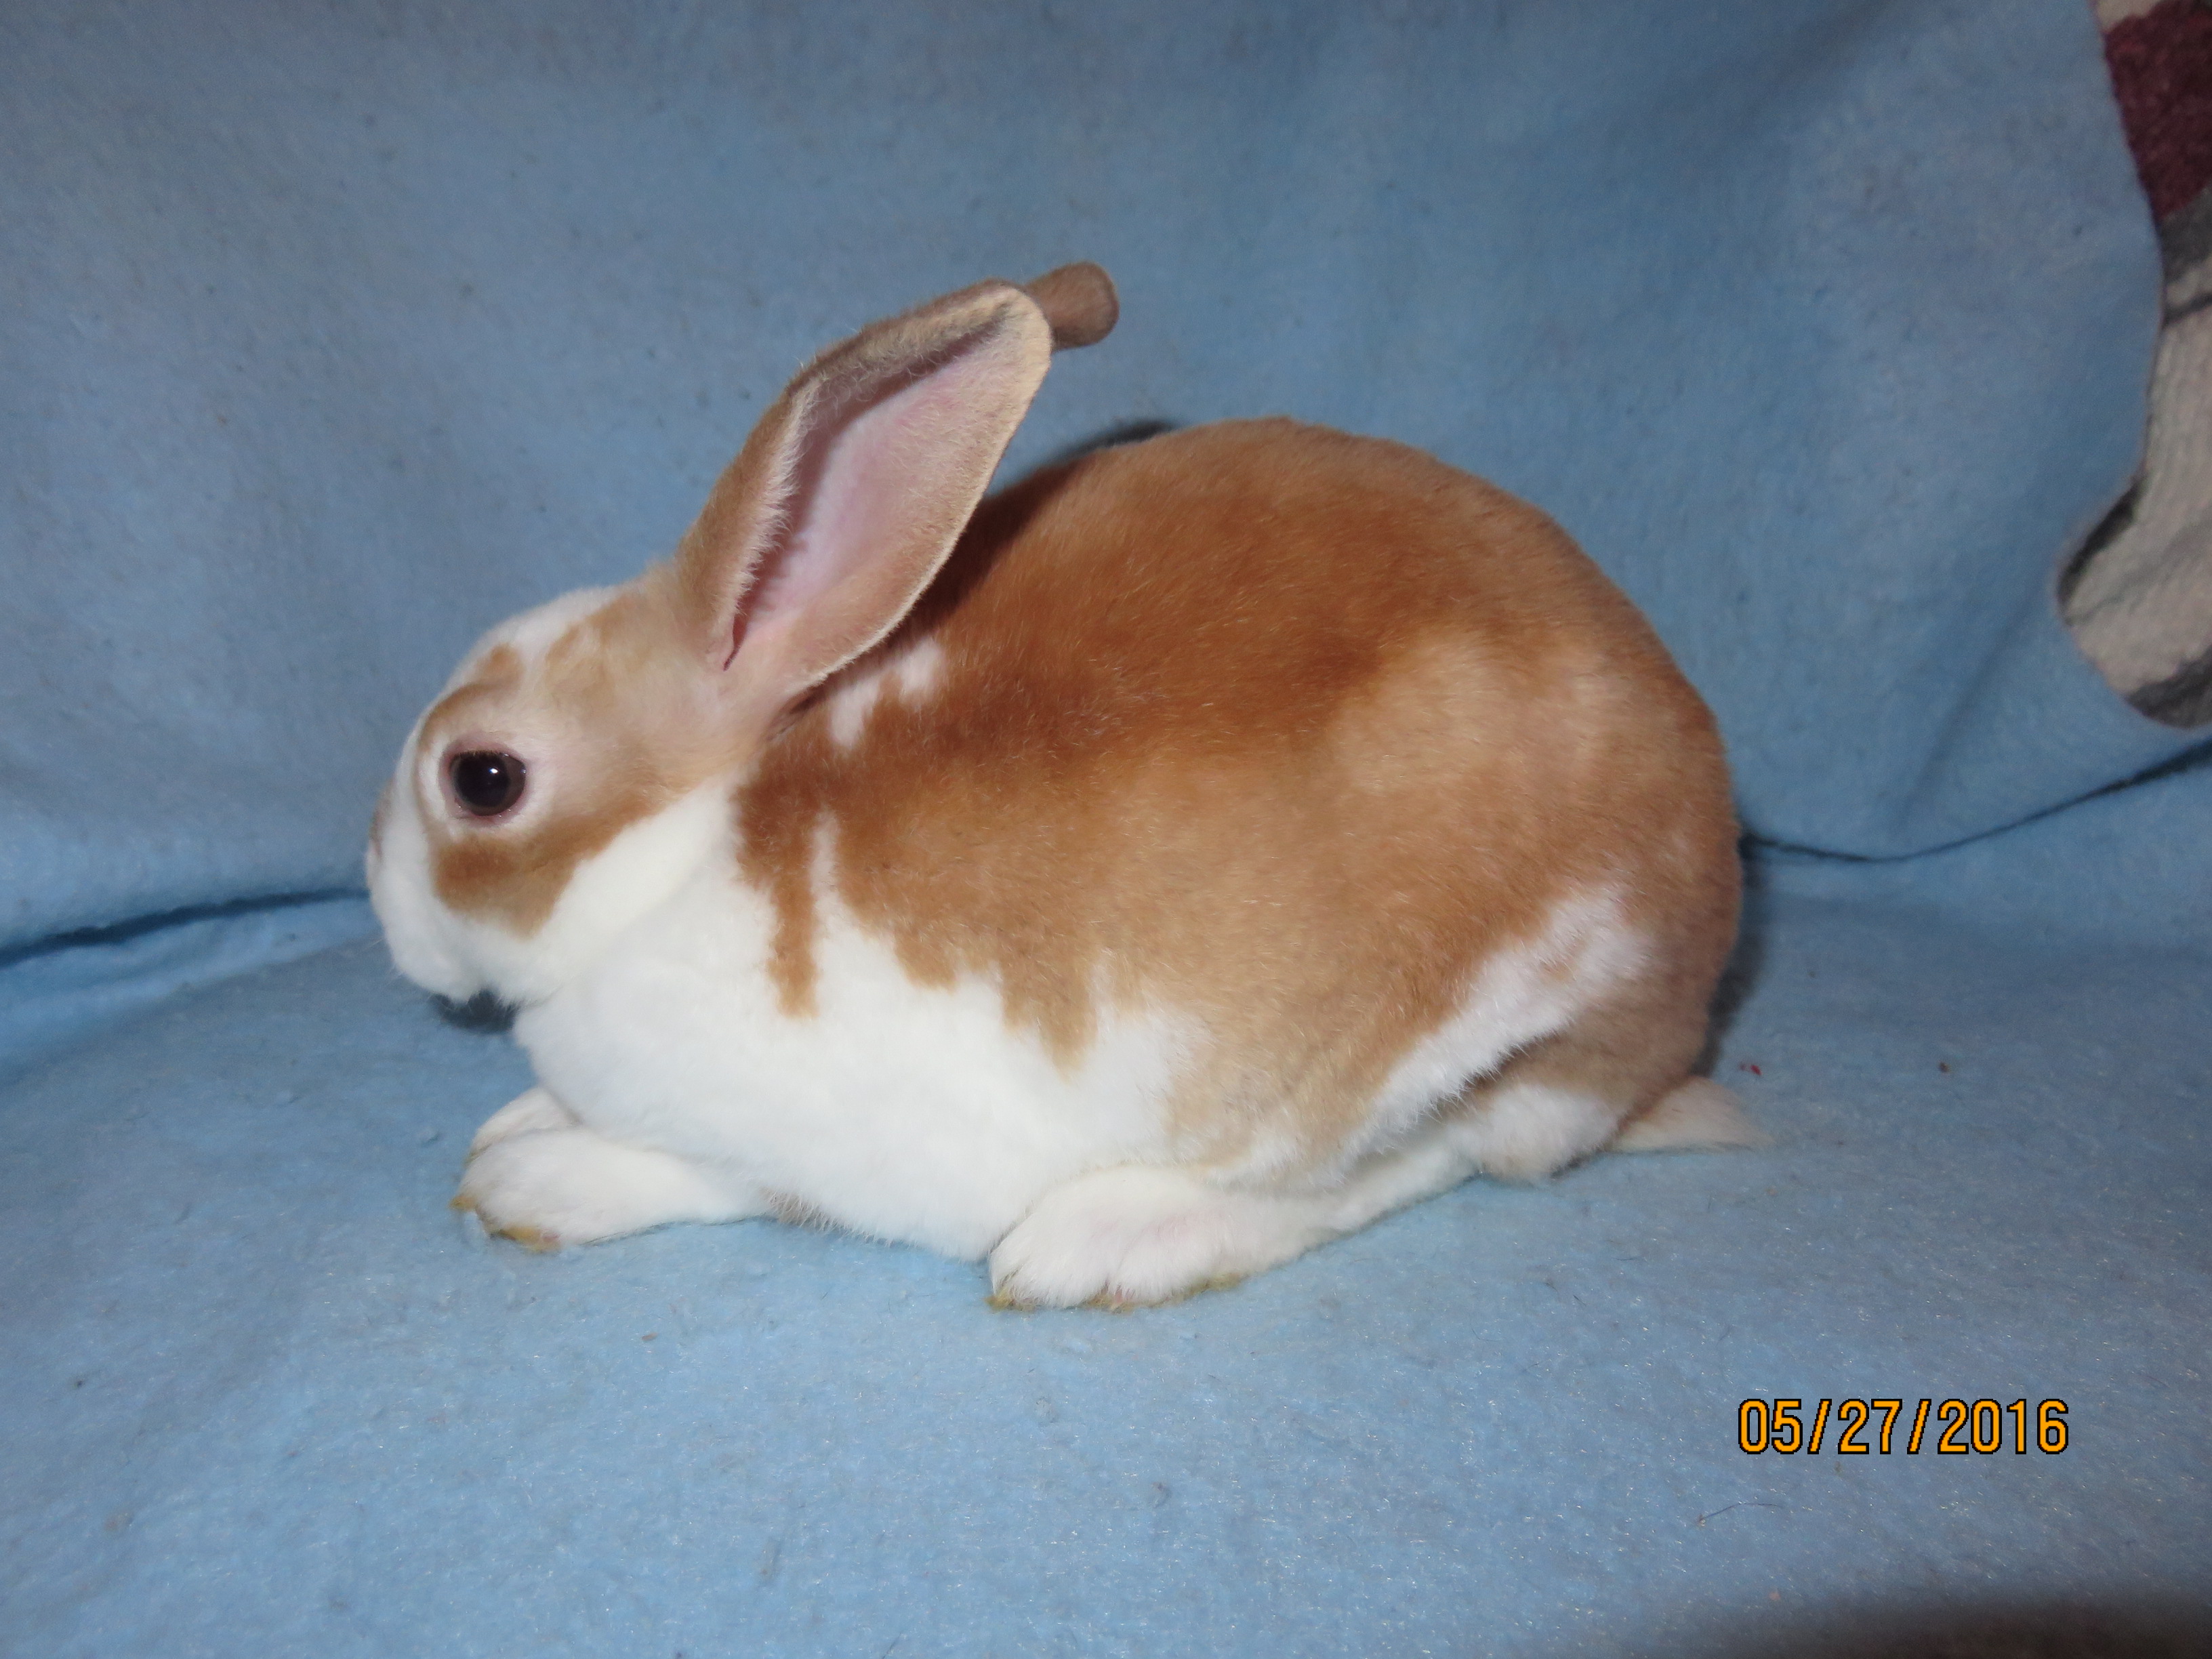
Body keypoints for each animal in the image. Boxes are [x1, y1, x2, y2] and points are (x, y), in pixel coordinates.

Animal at [366, 261, 1758, 1308]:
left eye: (480, 779)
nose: (380, 898)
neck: (675, 861)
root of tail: (1682, 1003)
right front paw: (514, 1125)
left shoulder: (821, 1146)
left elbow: (700, 1175)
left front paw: (526, 1184)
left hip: (1434, 1052)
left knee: (1408, 1164)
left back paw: (1103, 1244)